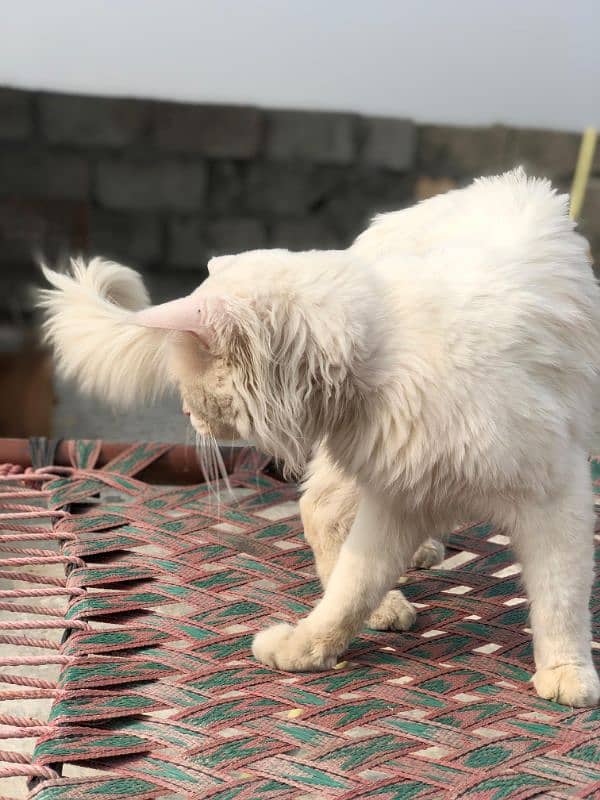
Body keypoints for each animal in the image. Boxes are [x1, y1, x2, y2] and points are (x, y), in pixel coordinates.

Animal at [41, 169, 600, 708]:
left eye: (188, 388)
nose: (183, 413)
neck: (385, 353)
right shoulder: (396, 500)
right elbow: (351, 590)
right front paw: (307, 648)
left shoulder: (554, 497)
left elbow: (560, 600)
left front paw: (566, 671)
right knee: (320, 513)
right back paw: (390, 600)